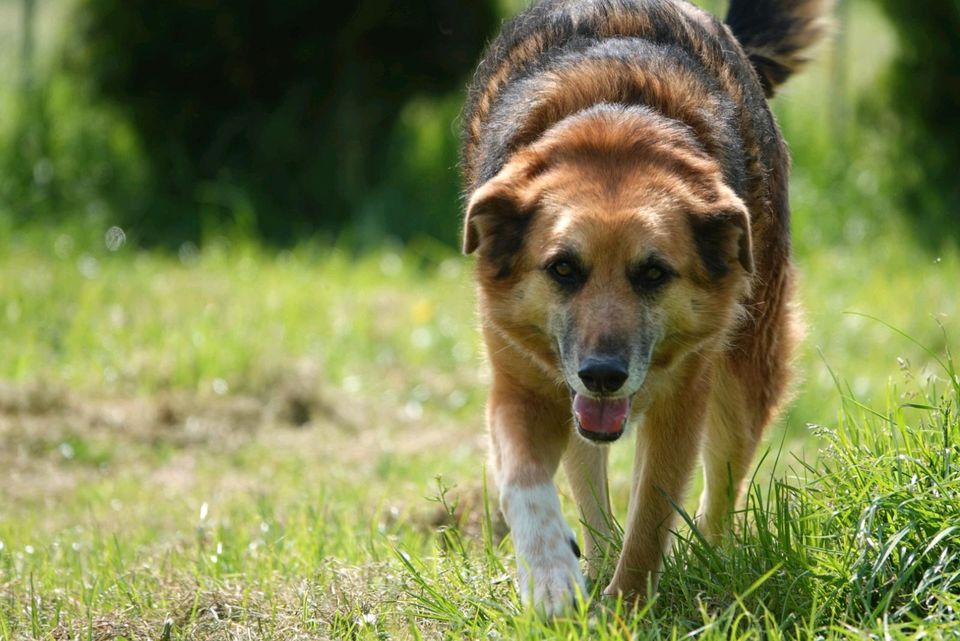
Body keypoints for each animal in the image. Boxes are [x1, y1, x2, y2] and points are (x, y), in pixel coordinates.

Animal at [462, 0, 828, 612]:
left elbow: (651, 518)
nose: (603, 375)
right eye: (563, 268)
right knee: (592, 496)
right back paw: (591, 562)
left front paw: (628, 605)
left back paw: (710, 562)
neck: (614, 126)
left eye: (654, 273)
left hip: (744, 376)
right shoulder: (524, 388)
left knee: (720, 489)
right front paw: (551, 576)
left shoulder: (682, 400)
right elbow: (525, 483)